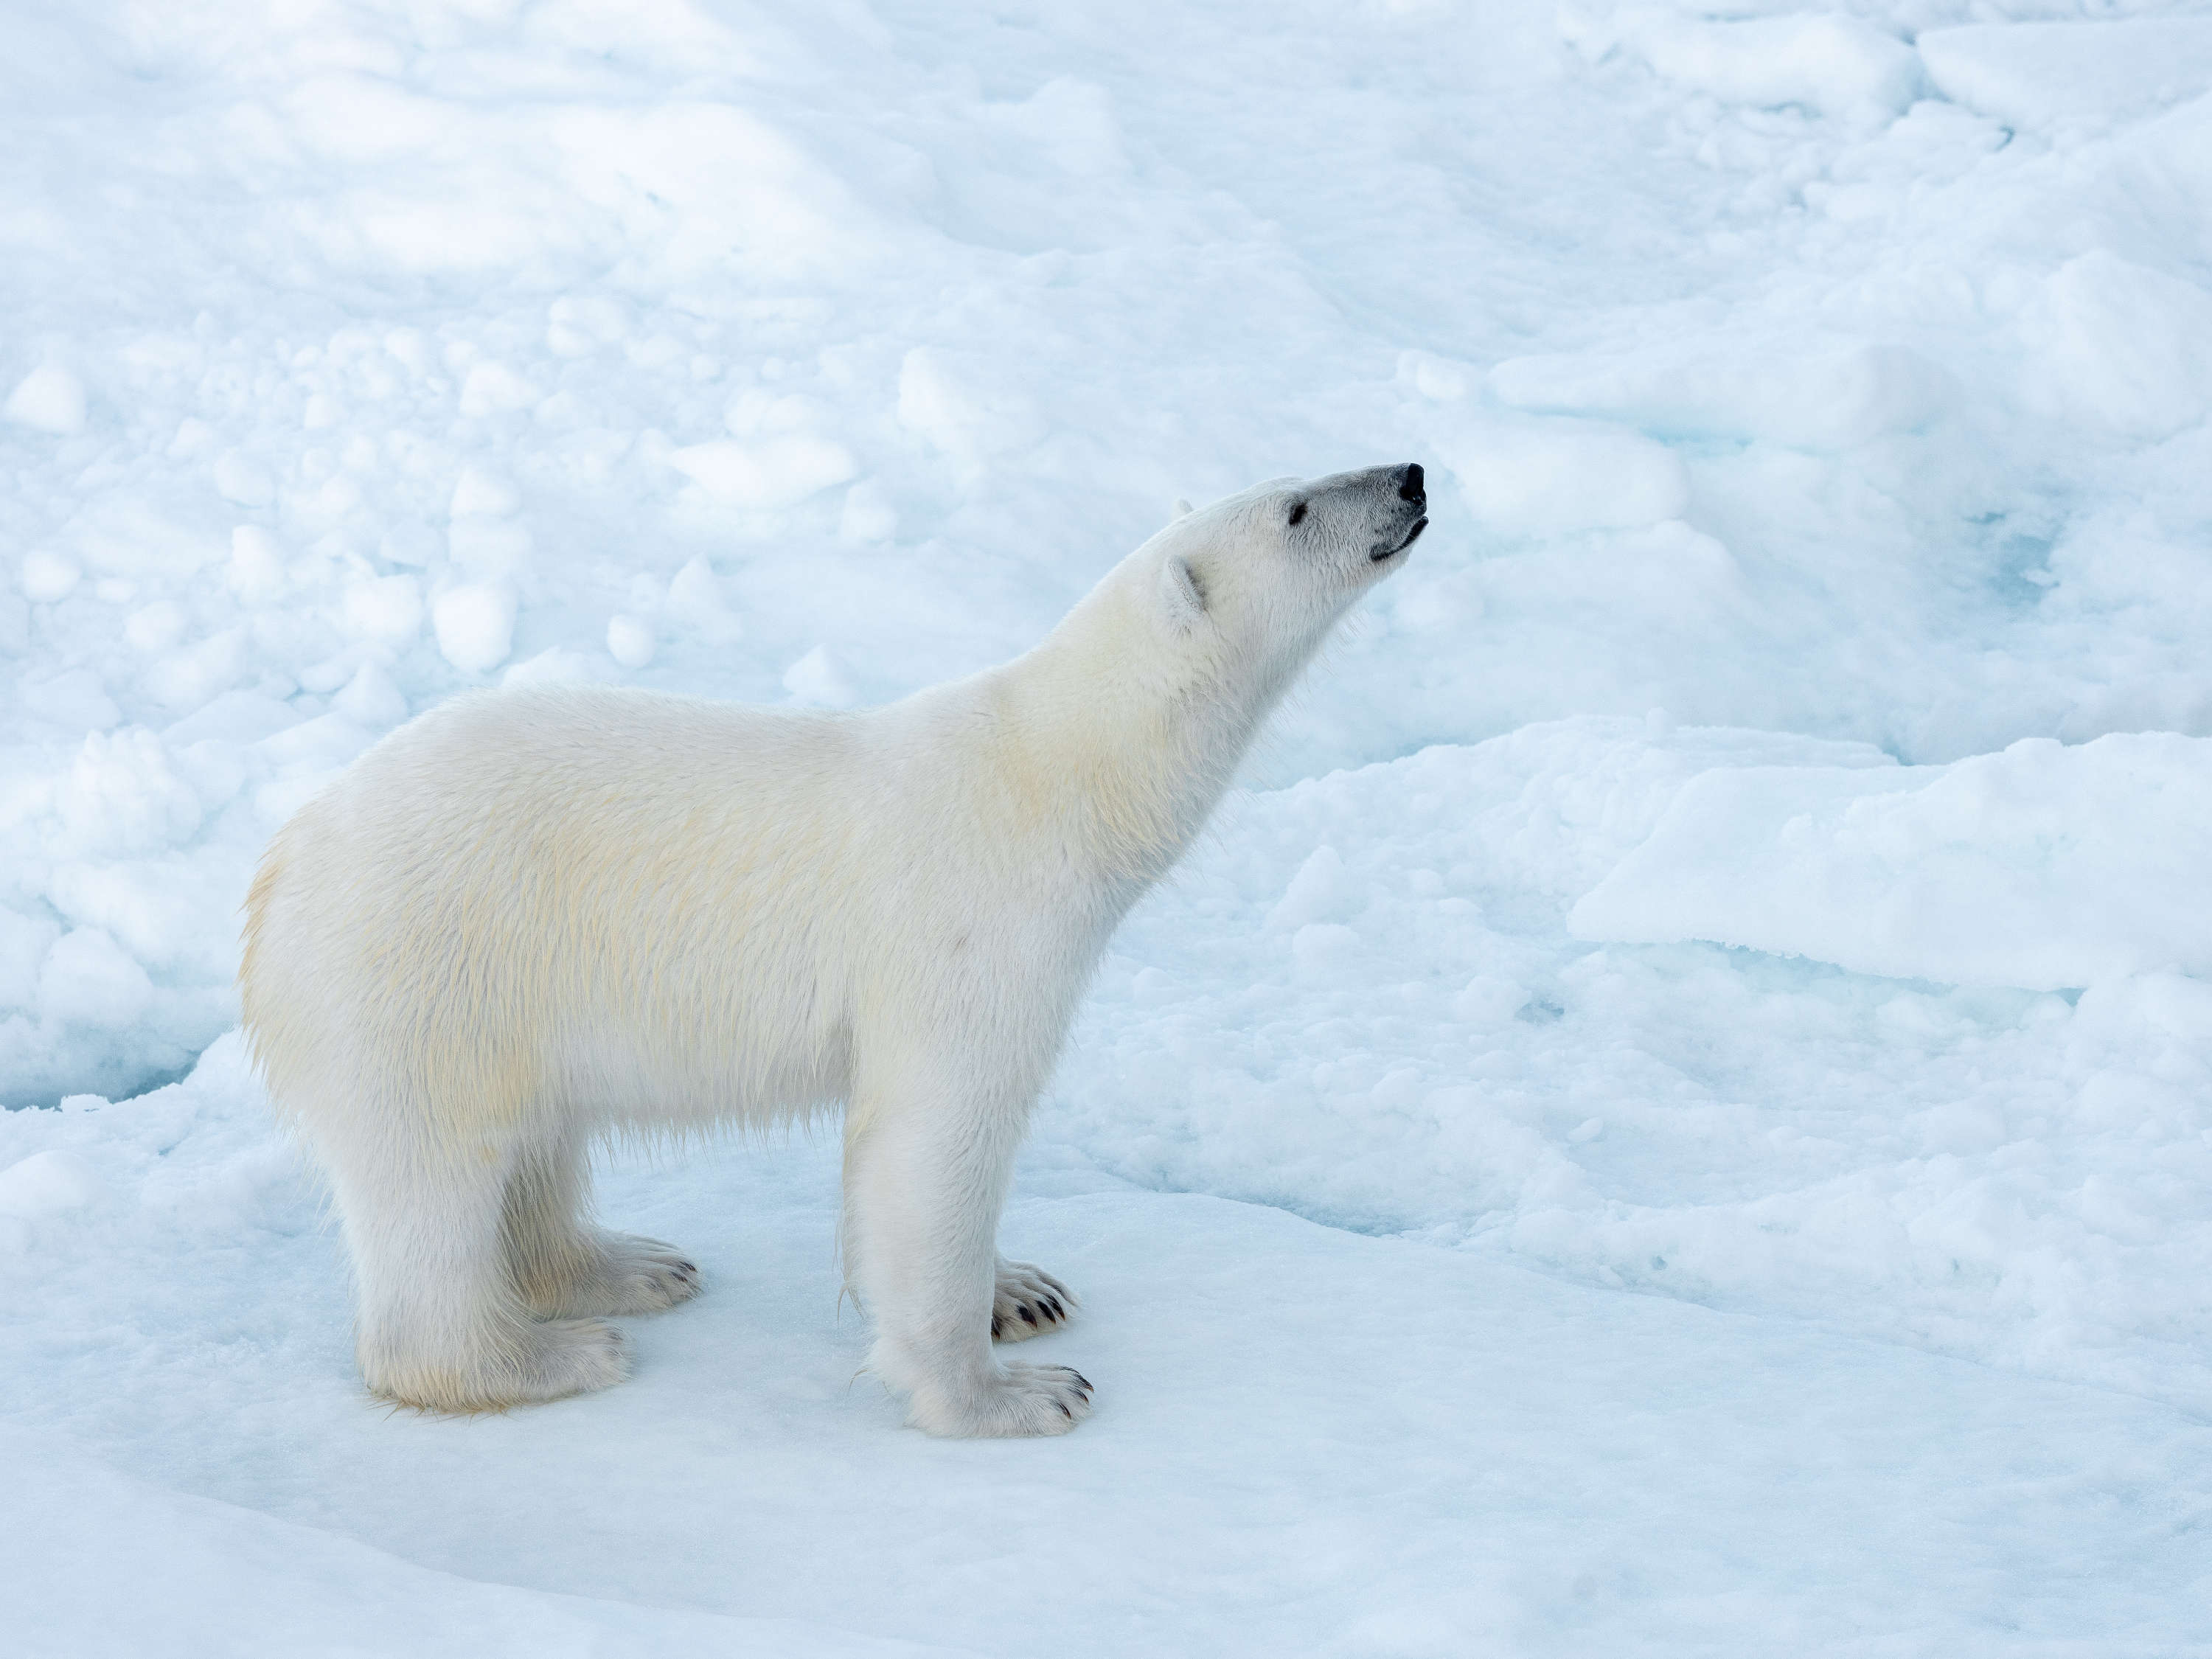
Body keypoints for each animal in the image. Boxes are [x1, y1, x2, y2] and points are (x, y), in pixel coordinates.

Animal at [239, 463, 1427, 1435]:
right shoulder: (971, 933)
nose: (1412, 473)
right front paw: (1012, 1394)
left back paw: (630, 1267)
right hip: (422, 976)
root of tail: (284, 863)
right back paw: (552, 1355)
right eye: (1297, 507)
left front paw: (1023, 1290)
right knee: (437, 1179)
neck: (1058, 776)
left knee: (537, 1144)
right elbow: (933, 1137)